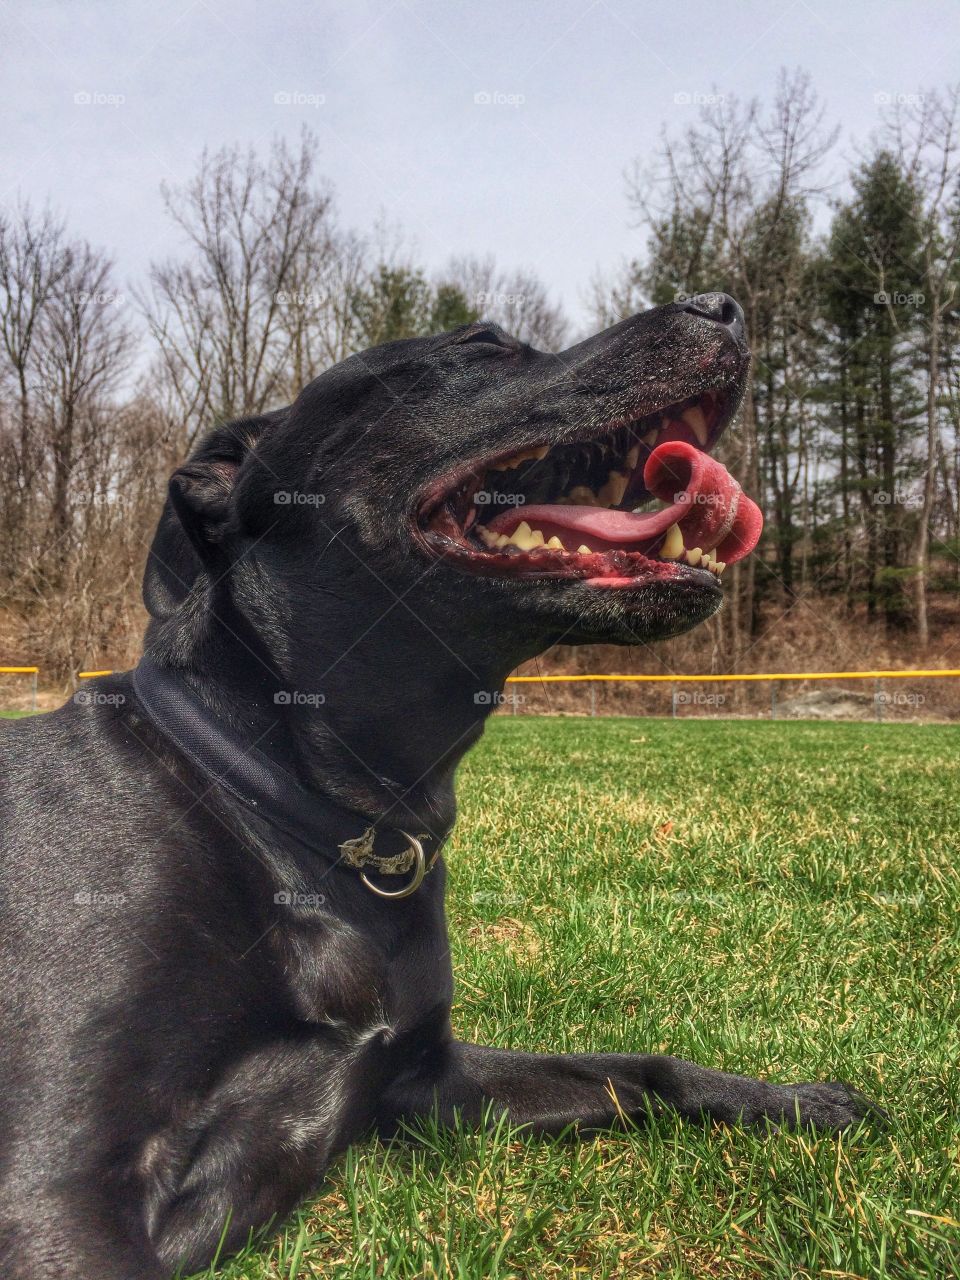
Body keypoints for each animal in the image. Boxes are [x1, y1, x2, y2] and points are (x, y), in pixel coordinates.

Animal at [0, 296, 875, 1280]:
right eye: (480, 345)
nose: (725, 307)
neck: (287, 811)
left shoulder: (428, 1080)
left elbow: (644, 1070)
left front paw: (794, 1099)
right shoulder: (52, 1189)